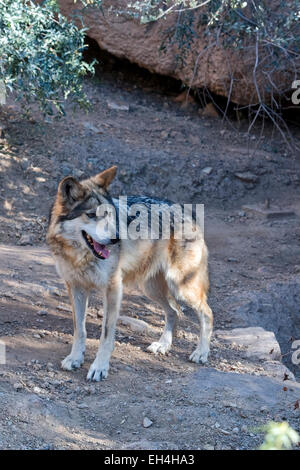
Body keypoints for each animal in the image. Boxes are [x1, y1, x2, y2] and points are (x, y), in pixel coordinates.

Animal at [47, 167, 212, 380]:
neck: (79, 256)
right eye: (91, 215)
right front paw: (75, 358)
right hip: (151, 289)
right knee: (174, 312)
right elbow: (79, 330)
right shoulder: (76, 288)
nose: (116, 238)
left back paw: (201, 353)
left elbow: (105, 335)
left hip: (181, 286)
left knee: (207, 313)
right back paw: (163, 345)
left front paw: (99, 368)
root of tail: (185, 210)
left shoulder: (113, 289)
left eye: (109, 215)